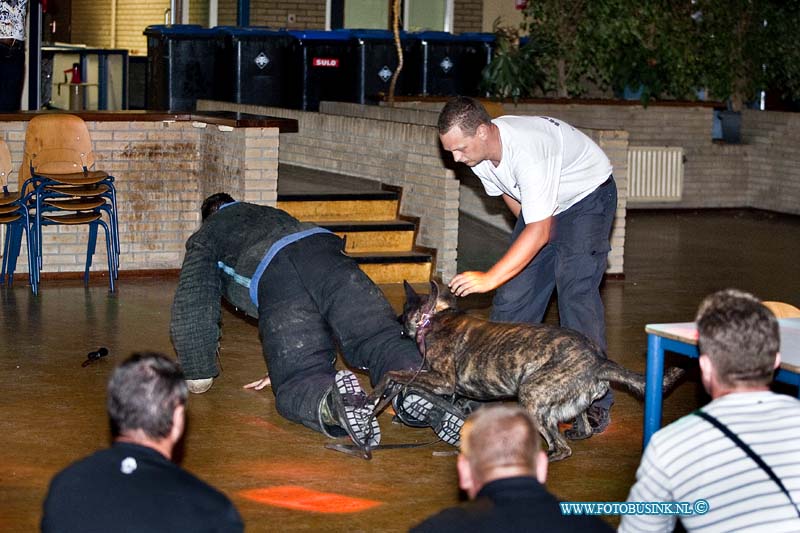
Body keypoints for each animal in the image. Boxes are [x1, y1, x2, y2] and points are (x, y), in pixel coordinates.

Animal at [372, 280, 684, 460]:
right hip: (568, 403)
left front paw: (379, 392)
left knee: (561, 448)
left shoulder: (442, 381)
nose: (396, 320)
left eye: (405, 309)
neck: (435, 317)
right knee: (580, 430)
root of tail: (598, 360)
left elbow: (396, 375)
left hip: (532, 395)